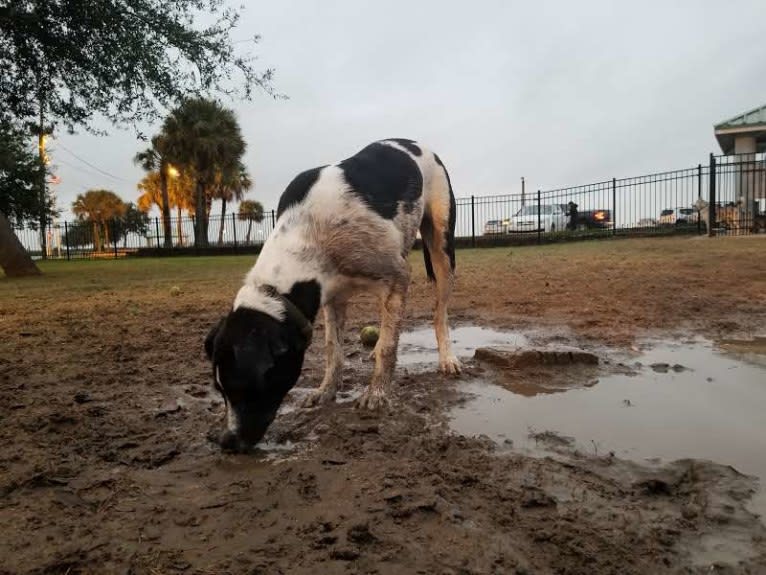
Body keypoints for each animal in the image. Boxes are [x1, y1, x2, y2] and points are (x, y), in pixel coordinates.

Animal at [201, 138, 462, 450]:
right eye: (219, 390)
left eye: (245, 388)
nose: (225, 441)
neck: (310, 233)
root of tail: (414, 143)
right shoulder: (332, 297)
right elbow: (333, 350)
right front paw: (326, 391)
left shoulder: (397, 278)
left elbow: (388, 347)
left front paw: (377, 394)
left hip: (442, 247)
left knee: (439, 312)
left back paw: (447, 358)